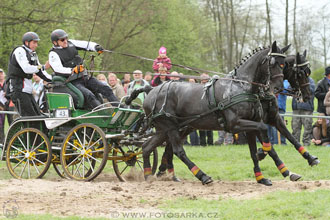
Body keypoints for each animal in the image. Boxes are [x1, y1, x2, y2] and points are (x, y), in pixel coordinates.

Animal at [139, 41, 286, 184]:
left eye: (283, 64)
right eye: (273, 63)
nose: (278, 88)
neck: (240, 86)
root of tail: (151, 91)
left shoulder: (251, 123)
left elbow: (254, 150)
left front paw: (260, 177)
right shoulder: (234, 124)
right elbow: (263, 128)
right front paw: (262, 153)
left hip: (165, 129)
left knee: (147, 147)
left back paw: (148, 176)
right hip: (170, 127)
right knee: (178, 151)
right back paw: (202, 176)